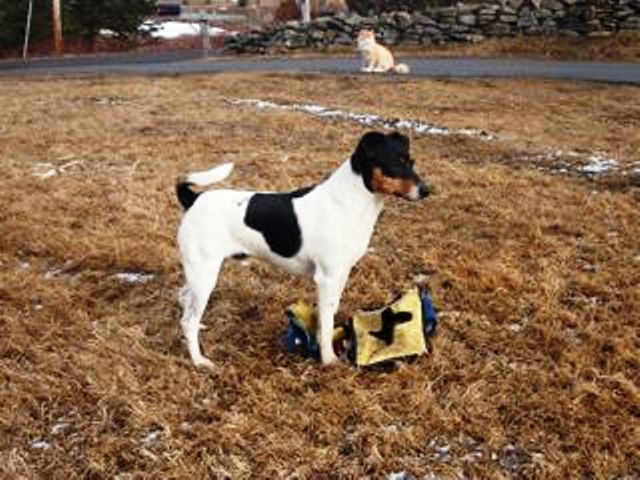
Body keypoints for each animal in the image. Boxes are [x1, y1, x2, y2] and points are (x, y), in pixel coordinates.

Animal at [174, 131, 430, 368]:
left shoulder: (340, 274)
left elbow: (329, 314)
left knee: (185, 299)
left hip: (201, 273)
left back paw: (199, 327)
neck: (349, 201)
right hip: (205, 275)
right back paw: (199, 360)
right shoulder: (327, 278)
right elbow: (326, 321)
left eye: (412, 161)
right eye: (395, 163)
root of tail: (193, 200)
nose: (427, 191)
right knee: (188, 319)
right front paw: (328, 359)